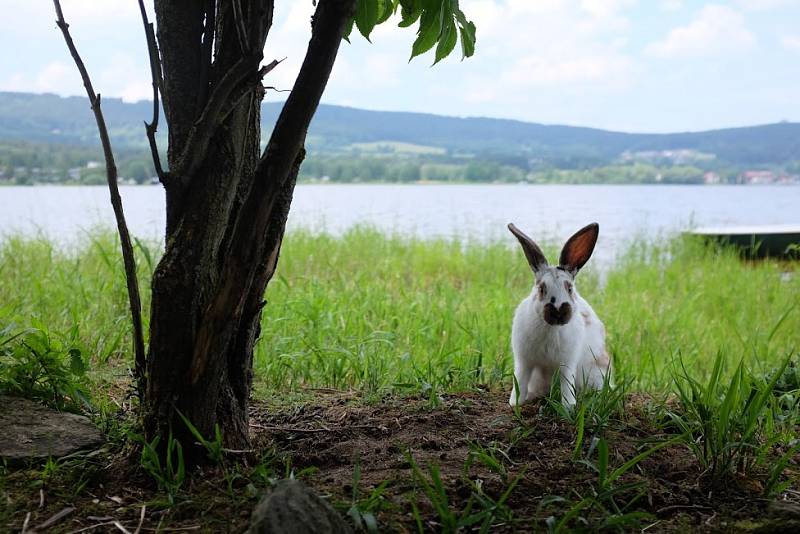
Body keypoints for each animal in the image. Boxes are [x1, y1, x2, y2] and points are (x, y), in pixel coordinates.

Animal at [506, 222, 612, 410]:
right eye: (541, 289)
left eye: (569, 288)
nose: (558, 312)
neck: (550, 328)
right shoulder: (524, 361)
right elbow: (520, 380)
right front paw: (515, 403)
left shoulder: (567, 363)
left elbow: (566, 385)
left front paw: (568, 407)